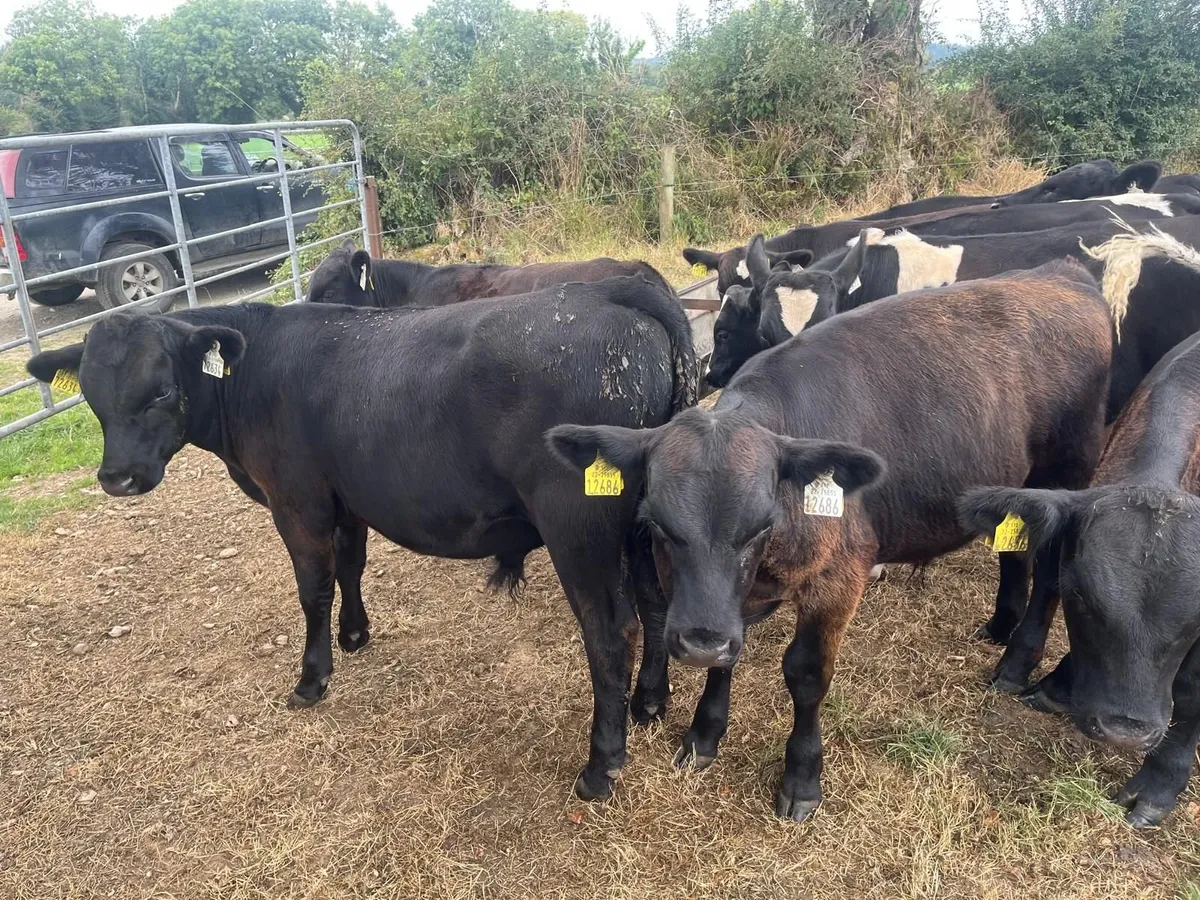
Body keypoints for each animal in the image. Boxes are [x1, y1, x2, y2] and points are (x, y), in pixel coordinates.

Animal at [26, 275, 698, 804]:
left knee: (610, 632)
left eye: (162, 390)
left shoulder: (296, 502)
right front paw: (354, 636)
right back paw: (650, 703)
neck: (253, 371)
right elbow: (350, 566)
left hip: (577, 526)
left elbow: (313, 587)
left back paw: (601, 765)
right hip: (639, 527)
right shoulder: (344, 498)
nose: (117, 478)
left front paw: (311, 678)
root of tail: (609, 292)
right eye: (91, 395)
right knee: (654, 602)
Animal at [548, 260, 1113, 820]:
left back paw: (1017, 662)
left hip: (1067, 471)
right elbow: (732, 657)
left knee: (1050, 575)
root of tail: (1062, 272)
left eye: (761, 525)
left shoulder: (840, 578)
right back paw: (1000, 625)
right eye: (658, 524)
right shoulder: (733, 603)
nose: (700, 643)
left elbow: (806, 674)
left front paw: (802, 777)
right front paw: (703, 735)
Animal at [960, 294, 1200, 829]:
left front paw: (1158, 786)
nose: (1125, 731)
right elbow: (1045, 586)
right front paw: (1034, 675)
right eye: (1083, 600)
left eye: (1198, 622)